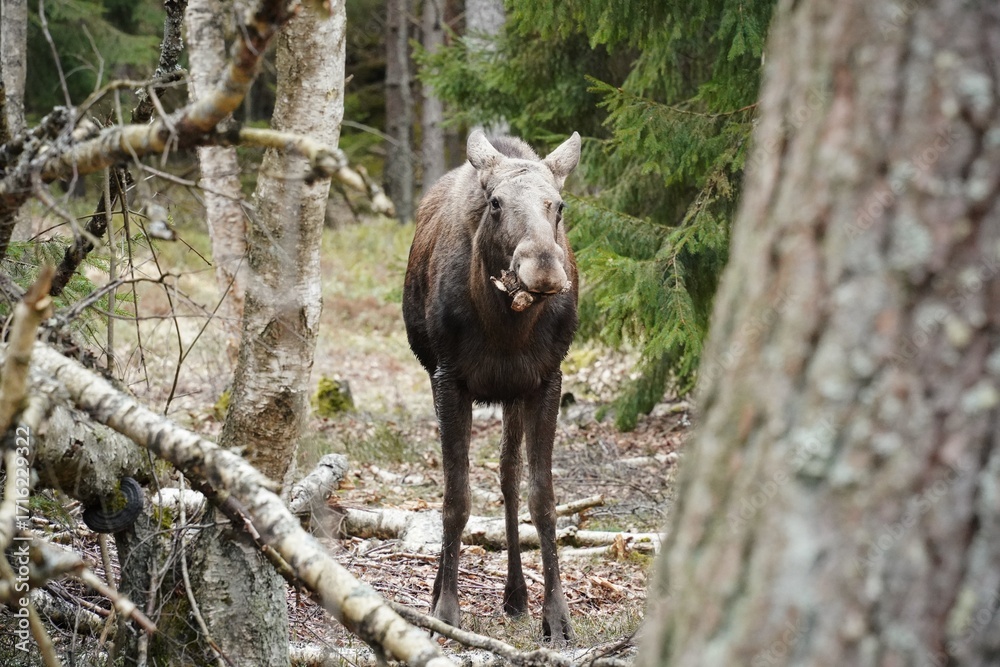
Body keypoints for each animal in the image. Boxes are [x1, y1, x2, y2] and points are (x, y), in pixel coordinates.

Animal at [402, 130, 581, 642]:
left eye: (558, 204)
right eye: (496, 202)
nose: (543, 268)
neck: (507, 328)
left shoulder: (545, 380)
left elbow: (542, 498)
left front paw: (556, 617)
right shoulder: (449, 378)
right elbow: (455, 498)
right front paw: (446, 610)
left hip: (512, 395)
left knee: (507, 478)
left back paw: (516, 595)